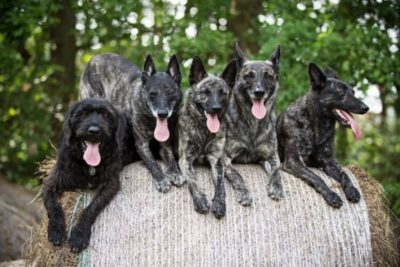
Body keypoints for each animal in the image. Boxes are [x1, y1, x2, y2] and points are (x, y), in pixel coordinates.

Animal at [42, 98, 138, 253]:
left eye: (105, 115)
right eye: (83, 114)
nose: (94, 131)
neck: (88, 166)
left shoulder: (110, 184)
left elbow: (90, 209)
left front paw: (79, 235)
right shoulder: (51, 183)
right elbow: (53, 206)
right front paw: (56, 230)